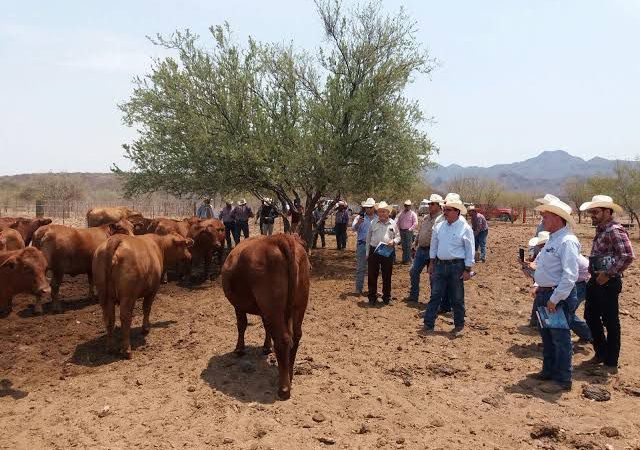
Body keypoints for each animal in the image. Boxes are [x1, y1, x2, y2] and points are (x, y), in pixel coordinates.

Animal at [222, 234, 310, 400]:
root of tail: (280, 238)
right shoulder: (265, 312)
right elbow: (266, 327)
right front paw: (266, 346)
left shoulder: (238, 305)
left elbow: (241, 325)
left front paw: (239, 349)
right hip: (299, 304)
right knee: (296, 336)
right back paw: (289, 376)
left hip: (272, 305)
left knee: (283, 339)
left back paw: (283, 389)